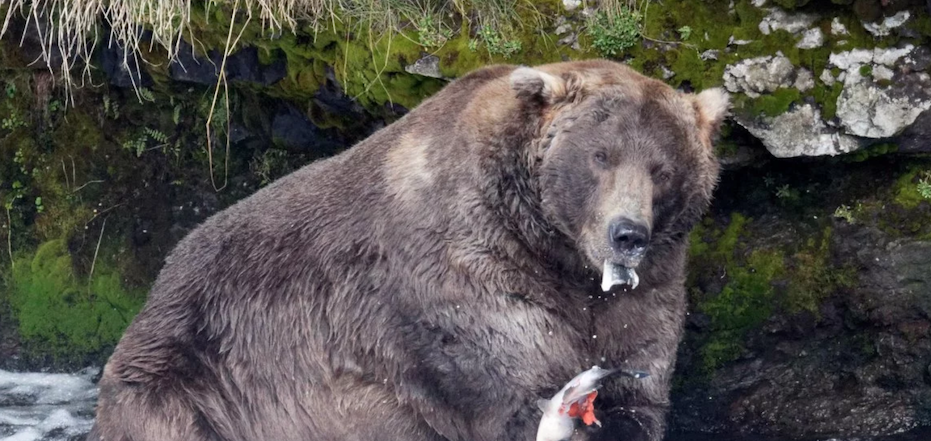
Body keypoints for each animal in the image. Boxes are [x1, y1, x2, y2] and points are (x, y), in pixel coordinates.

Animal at [88, 59, 728, 441]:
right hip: (200, 376)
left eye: (661, 167)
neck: (557, 256)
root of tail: (157, 286)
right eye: (600, 156)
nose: (628, 233)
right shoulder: (463, 282)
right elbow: (506, 388)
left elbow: (636, 391)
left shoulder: (644, 297)